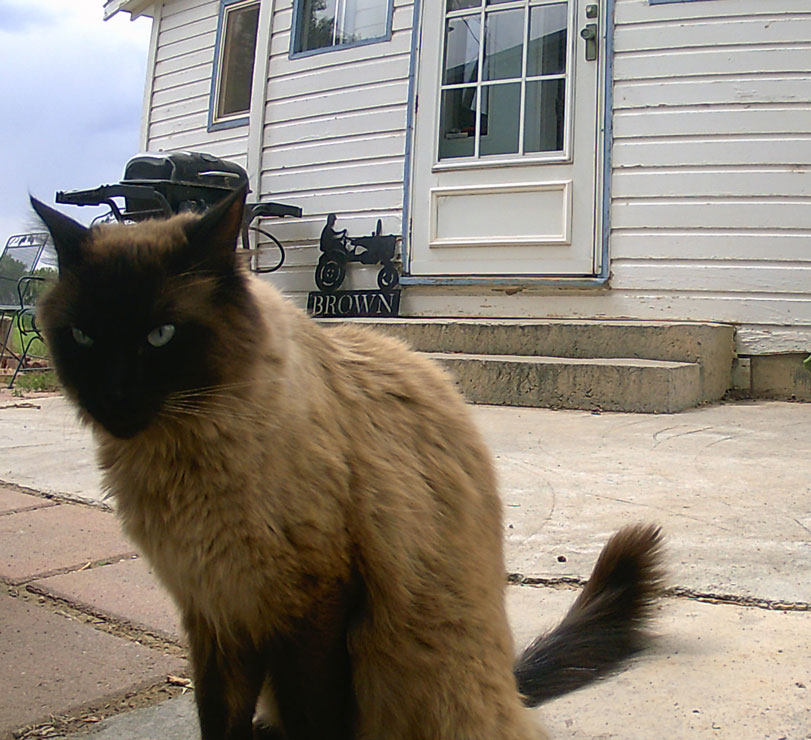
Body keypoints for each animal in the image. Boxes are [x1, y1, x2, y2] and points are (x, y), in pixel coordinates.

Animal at [31, 189, 664, 740]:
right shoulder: (216, 612)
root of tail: (511, 688)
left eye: (160, 336)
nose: (113, 397)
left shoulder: (309, 606)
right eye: (83, 336)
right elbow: (220, 722)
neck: (184, 462)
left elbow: (315, 718)